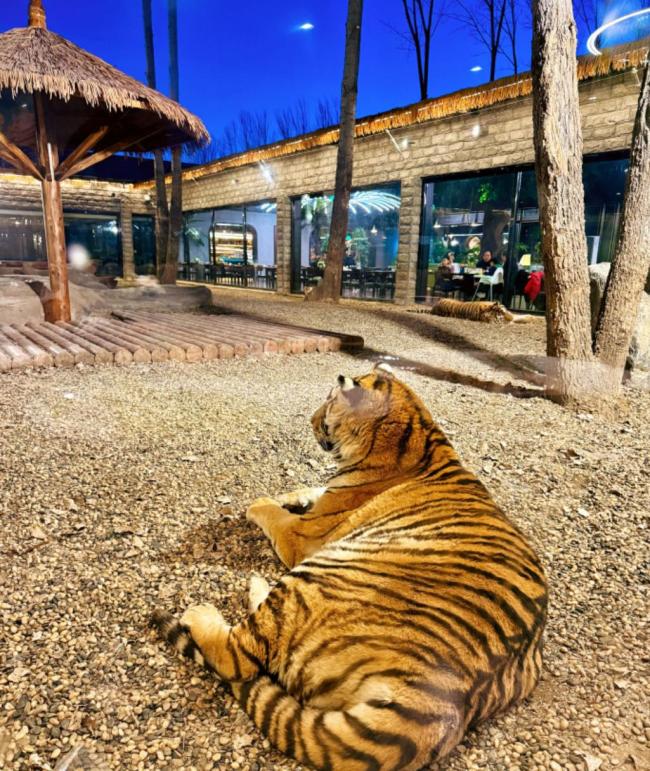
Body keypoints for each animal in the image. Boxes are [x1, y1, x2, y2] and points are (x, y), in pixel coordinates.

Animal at [152, 363, 547, 771]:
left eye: (327, 405)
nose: (310, 420)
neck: (417, 434)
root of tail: (434, 702)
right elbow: (308, 489)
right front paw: (290, 494)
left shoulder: (302, 538)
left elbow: (271, 512)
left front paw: (259, 502)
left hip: (316, 576)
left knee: (238, 656)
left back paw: (205, 611)